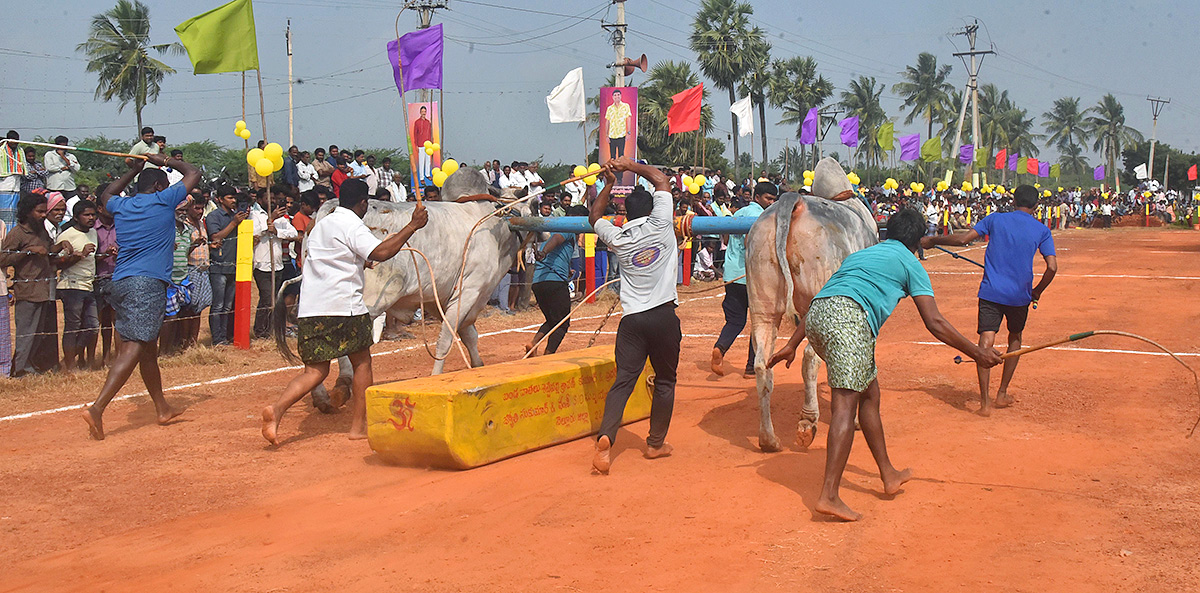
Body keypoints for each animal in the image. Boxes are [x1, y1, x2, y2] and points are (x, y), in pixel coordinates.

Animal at [744, 159, 878, 451]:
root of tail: (792, 201)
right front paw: (857, 420)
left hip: (762, 305)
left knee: (762, 364)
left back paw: (769, 439)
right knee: (808, 358)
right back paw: (808, 421)